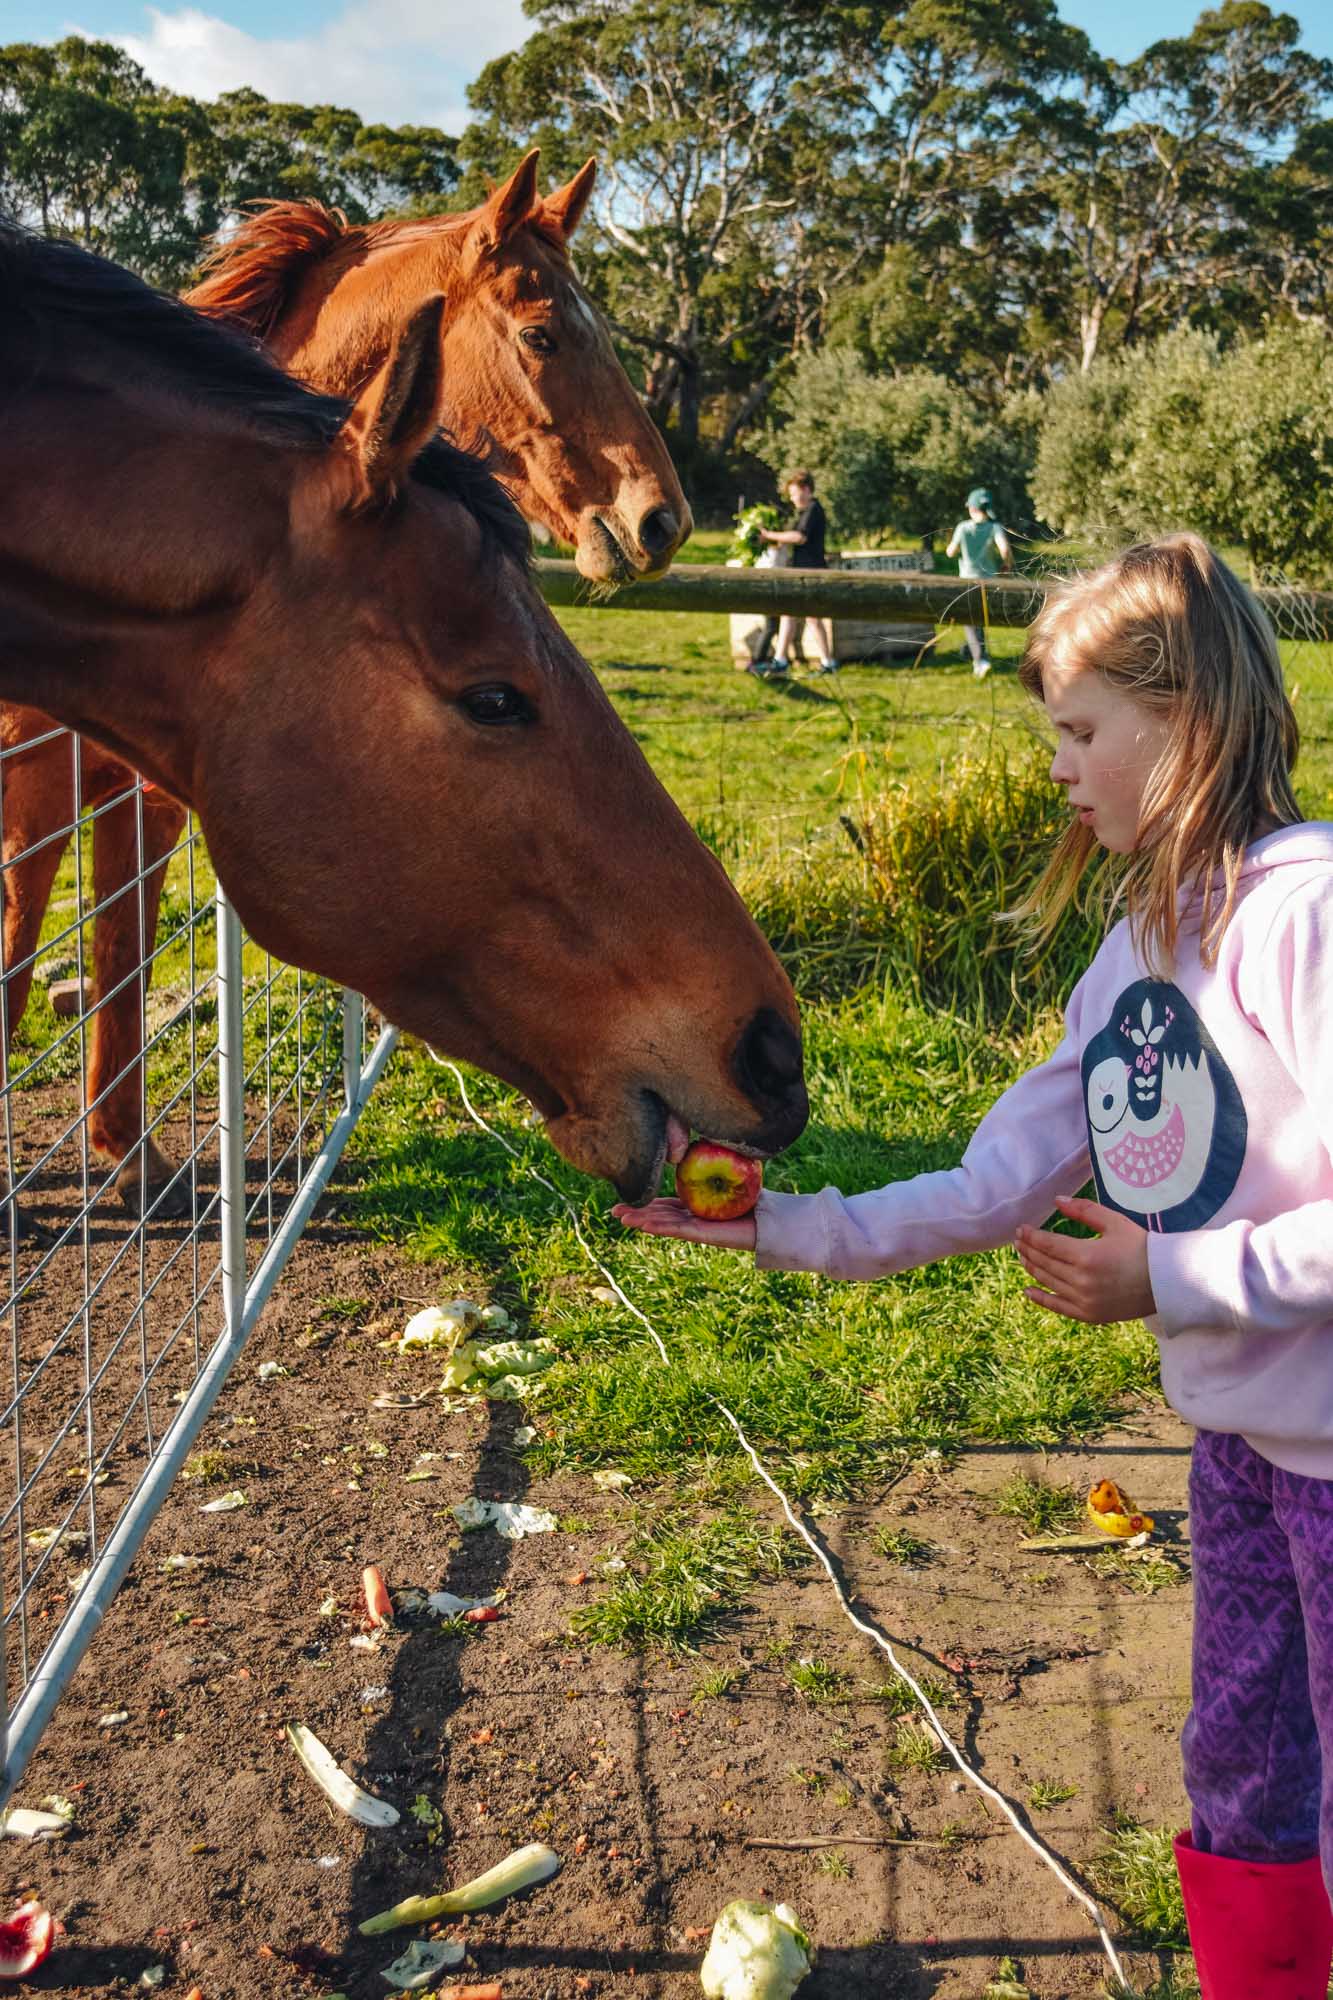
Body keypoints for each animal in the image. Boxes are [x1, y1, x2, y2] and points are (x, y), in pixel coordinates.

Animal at [0, 230, 800, 1200]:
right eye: (494, 698)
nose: (775, 1055)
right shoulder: (35, 798)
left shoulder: (144, 796)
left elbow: (124, 951)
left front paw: (131, 1153)